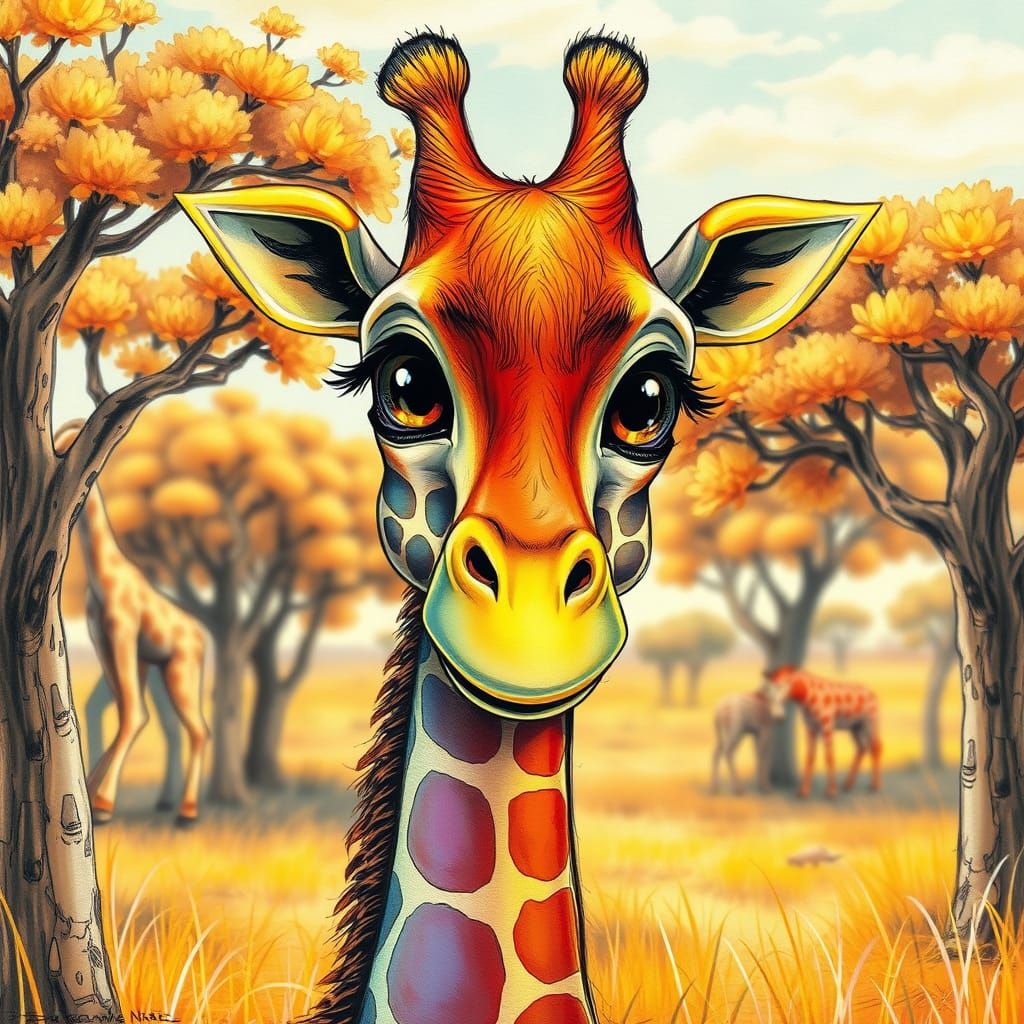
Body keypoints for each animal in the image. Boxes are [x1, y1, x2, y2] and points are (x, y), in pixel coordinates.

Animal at [56, 422, 209, 827]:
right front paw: (91, 794)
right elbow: (129, 714)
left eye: (68, 440)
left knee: (198, 728)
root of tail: (203, 638)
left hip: (180, 670)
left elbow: (132, 714)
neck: (103, 578)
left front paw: (103, 803)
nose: (60, 460)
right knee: (168, 722)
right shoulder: (104, 641)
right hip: (155, 667)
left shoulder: (122, 634)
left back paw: (187, 812)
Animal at [764, 665, 882, 800]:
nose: (777, 717)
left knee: (876, 747)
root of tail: (872, 693)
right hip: (856, 726)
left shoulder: (827, 724)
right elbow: (810, 757)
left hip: (870, 721)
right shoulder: (811, 727)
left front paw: (831, 792)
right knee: (862, 747)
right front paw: (803, 791)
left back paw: (875, 786)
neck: (809, 697)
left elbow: (829, 756)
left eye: (782, 686)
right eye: (767, 690)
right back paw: (848, 785)